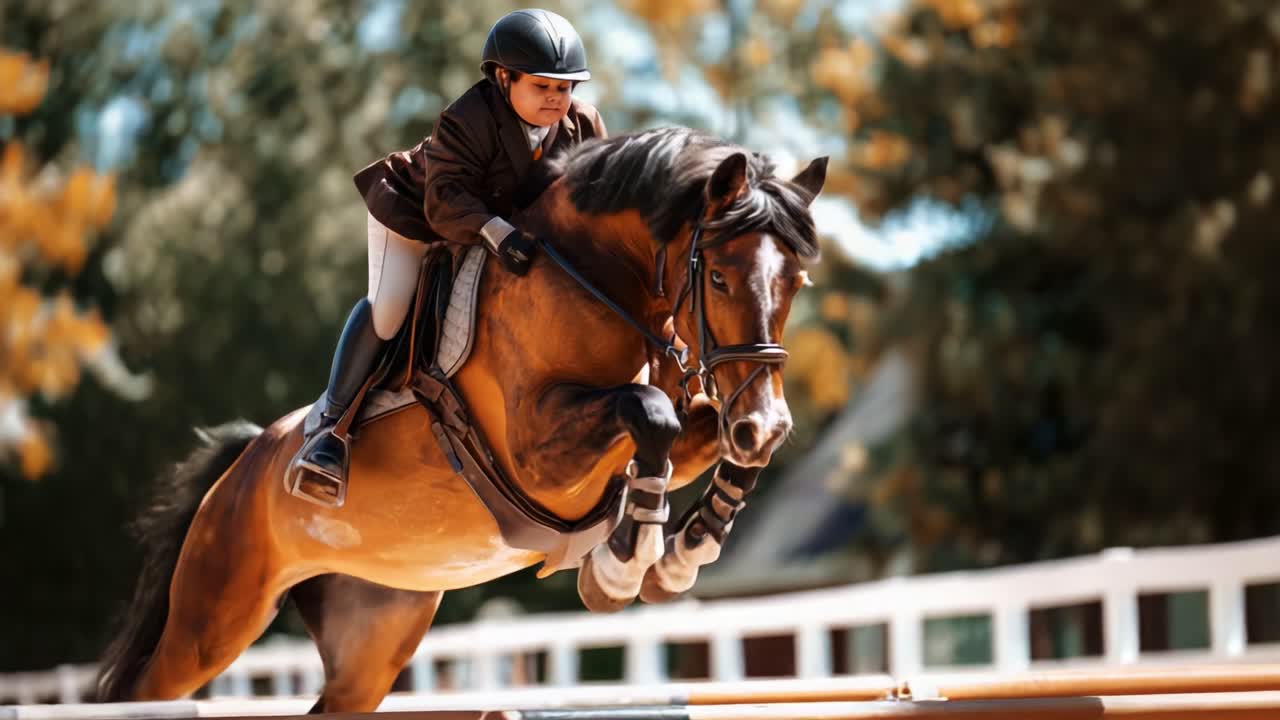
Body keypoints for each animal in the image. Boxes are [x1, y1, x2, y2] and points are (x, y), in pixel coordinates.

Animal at [96, 126, 827, 713]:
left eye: (795, 283)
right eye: (721, 279)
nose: (767, 421)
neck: (599, 284)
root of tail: (245, 460)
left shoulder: (677, 434)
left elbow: (700, 438)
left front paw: (684, 551)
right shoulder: (539, 457)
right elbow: (647, 413)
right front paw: (623, 565)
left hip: (374, 632)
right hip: (214, 618)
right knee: (140, 691)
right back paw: (319, 457)